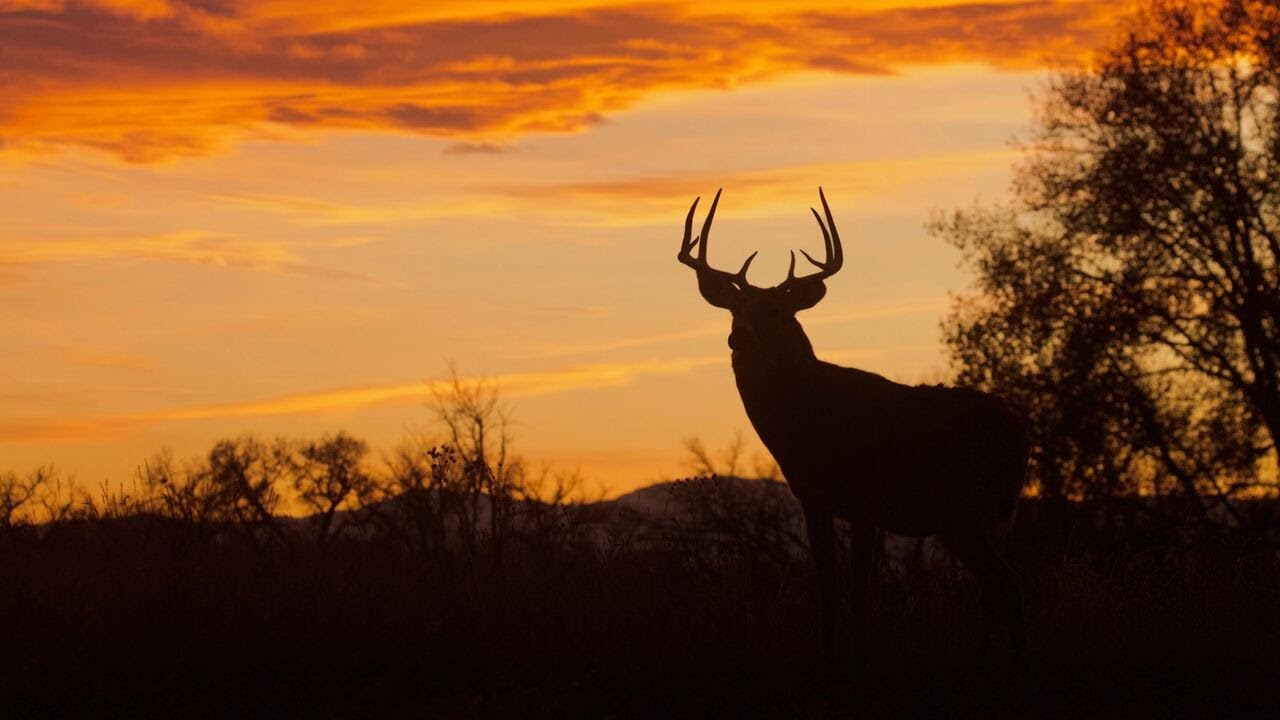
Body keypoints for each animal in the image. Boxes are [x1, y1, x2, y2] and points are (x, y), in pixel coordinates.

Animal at [676, 187, 1031, 692]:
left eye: (776, 311)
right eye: (735, 308)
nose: (738, 338)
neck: (809, 423)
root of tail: (1019, 435)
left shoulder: (867, 498)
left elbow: (860, 589)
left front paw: (862, 669)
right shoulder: (813, 500)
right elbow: (826, 586)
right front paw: (828, 667)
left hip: (971, 506)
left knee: (1007, 583)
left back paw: (1018, 678)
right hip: (974, 515)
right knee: (995, 585)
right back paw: (982, 673)